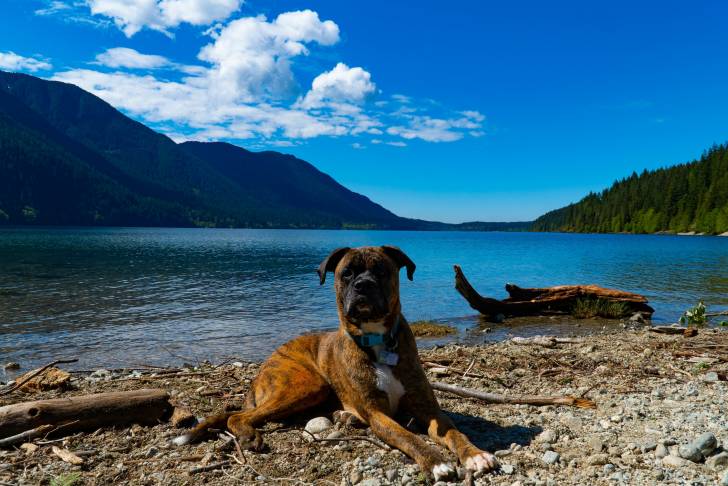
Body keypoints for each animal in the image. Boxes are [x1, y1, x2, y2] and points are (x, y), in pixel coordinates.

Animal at [173, 245, 498, 480]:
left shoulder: (429, 410)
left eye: (381, 271)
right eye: (347, 274)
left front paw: (475, 454)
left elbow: (454, 432)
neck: (378, 340)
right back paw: (250, 434)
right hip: (307, 384)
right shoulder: (379, 416)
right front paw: (435, 462)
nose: (363, 285)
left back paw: (345, 416)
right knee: (238, 416)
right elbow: (409, 437)